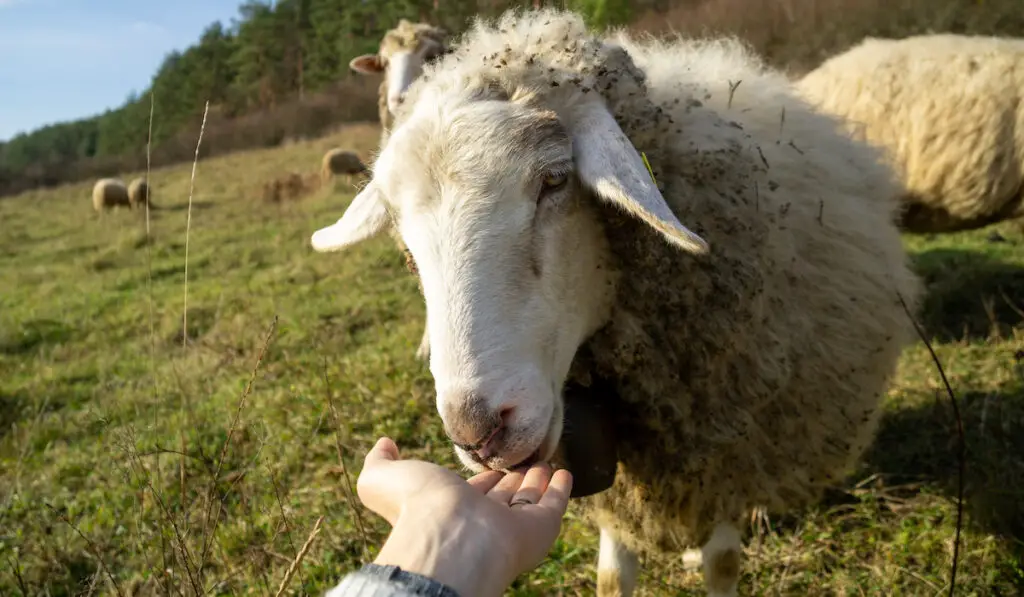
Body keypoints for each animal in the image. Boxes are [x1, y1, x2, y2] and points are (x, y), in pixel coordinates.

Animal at [309, 9, 921, 597]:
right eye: (399, 230)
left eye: (556, 179)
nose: (478, 432)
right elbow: (612, 577)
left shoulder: (727, 447)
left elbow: (722, 564)